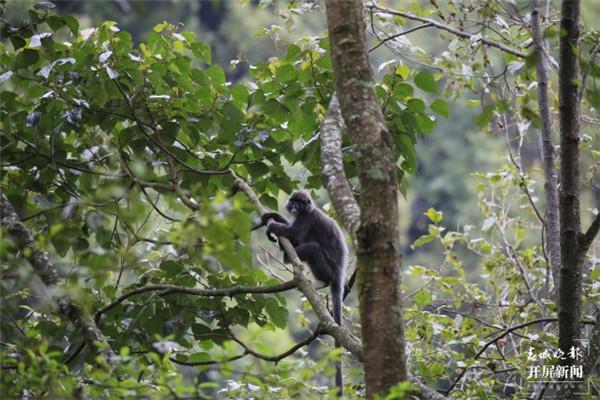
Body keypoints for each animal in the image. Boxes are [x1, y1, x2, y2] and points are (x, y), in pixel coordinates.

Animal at [258, 191, 346, 396]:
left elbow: (294, 233)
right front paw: (273, 216)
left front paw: (273, 225)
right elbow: (292, 233)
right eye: (293, 201)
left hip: (325, 268)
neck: (306, 211)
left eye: (299, 202)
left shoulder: (306, 219)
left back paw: (286, 257)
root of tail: (339, 275)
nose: (295, 207)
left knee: (313, 247)